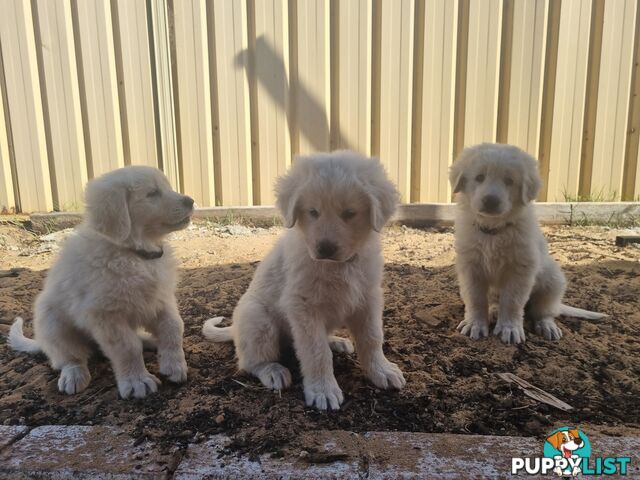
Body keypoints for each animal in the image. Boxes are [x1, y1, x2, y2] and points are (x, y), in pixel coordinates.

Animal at [8, 167, 194, 400]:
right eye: (152, 193)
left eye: (168, 187)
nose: (191, 201)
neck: (135, 254)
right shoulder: (106, 314)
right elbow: (127, 348)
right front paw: (137, 381)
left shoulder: (160, 299)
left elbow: (174, 327)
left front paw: (175, 366)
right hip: (52, 323)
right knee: (69, 357)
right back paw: (74, 375)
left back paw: (150, 340)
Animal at [204, 152, 404, 410]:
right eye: (313, 212)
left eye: (349, 213)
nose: (325, 248)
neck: (338, 266)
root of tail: (236, 330)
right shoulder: (304, 306)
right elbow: (316, 352)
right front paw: (323, 390)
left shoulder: (367, 298)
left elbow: (372, 338)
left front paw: (382, 371)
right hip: (258, 320)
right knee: (250, 362)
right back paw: (273, 371)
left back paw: (336, 341)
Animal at [450, 142, 604, 344]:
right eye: (479, 177)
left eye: (509, 181)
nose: (491, 201)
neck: (494, 231)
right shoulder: (471, 267)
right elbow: (476, 299)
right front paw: (475, 324)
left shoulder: (521, 269)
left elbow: (512, 301)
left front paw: (509, 329)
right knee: (494, 302)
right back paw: (493, 311)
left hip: (552, 281)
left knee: (544, 311)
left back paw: (546, 326)